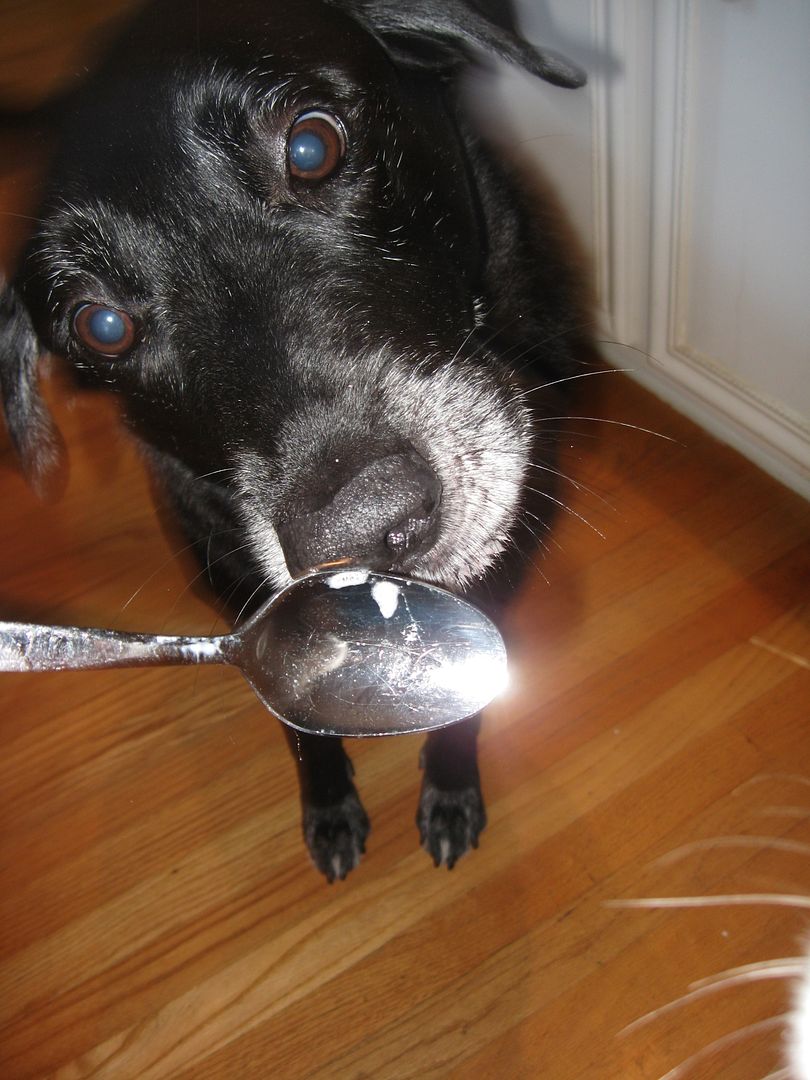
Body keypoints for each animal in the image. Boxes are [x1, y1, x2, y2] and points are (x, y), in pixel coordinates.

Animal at [0, 0, 587, 876]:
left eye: (312, 147)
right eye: (101, 326)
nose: (368, 528)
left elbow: (467, 702)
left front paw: (450, 789)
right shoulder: (246, 624)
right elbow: (302, 729)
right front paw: (333, 809)